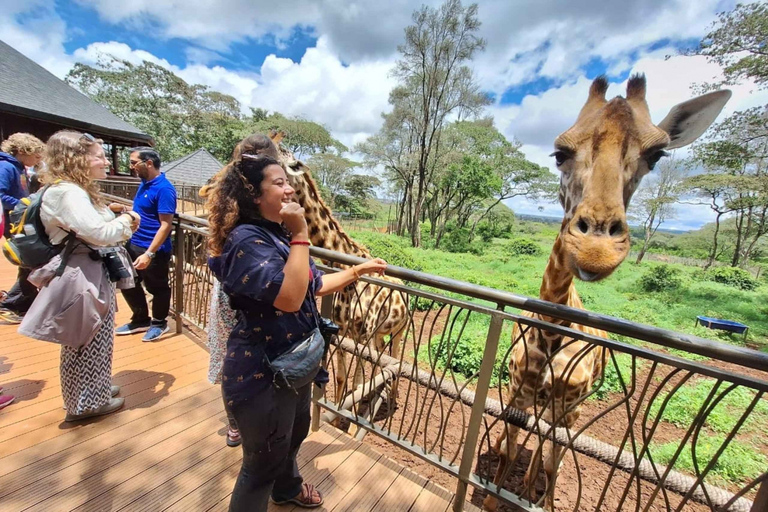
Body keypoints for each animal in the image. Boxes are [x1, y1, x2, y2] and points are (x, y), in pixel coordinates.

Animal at [484, 74, 728, 510]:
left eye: (657, 155)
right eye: (559, 153)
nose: (595, 250)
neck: (551, 336)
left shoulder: (567, 409)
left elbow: (549, 462)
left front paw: (539, 498)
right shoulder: (519, 394)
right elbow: (512, 452)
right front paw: (498, 489)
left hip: (567, 411)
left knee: (549, 455)